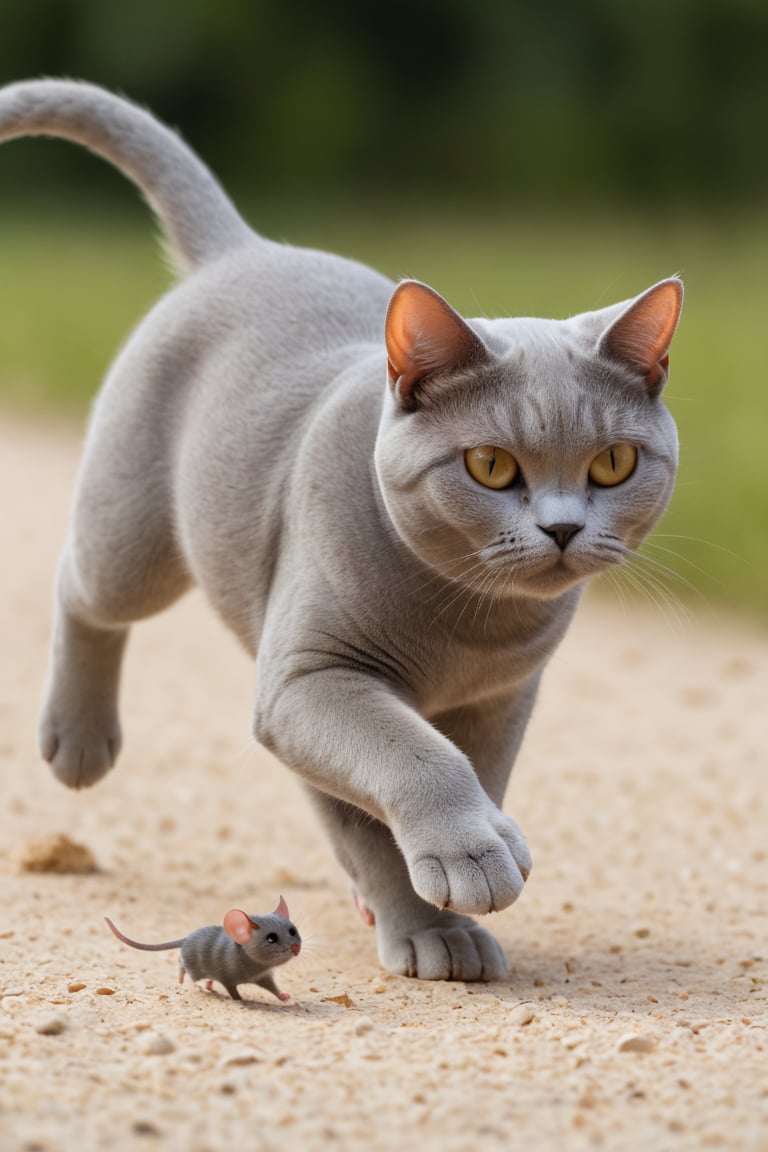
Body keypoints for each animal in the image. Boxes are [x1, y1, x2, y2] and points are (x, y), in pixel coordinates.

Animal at [0, 81, 686, 981]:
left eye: (612, 462)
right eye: (490, 465)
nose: (565, 527)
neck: (469, 623)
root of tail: (245, 249)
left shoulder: (501, 698)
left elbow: (449, 781)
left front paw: (448, 884)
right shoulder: (310, 679)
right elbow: (405, 766)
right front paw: (450, 896)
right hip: (134, 543)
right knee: (81, 586)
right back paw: (77, 741)